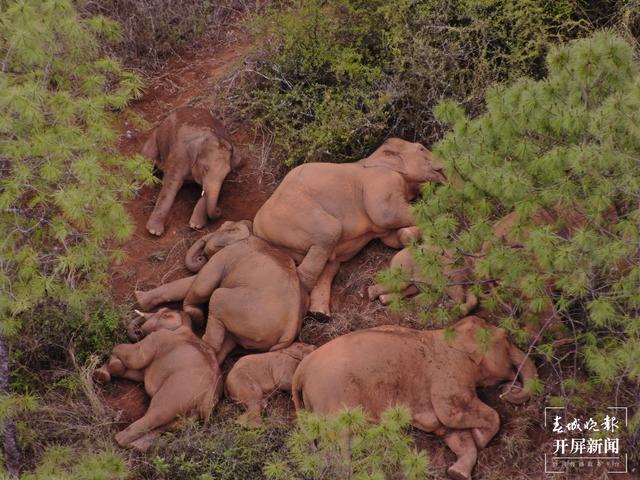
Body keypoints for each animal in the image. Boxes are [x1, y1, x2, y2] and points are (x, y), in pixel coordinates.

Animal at [92, 308, 222, 450]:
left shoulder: (157, 338)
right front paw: (102, 374)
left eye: (159, 311)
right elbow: (137, 373)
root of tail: (207, 401)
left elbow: (133, 357)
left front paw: (106, 369)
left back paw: (118, 439)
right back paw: (138, 446)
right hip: (190, 415)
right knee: (166, 426)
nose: (138, 331)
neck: (184, 326)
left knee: (156, 414)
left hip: (176, 394)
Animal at [134, 219, 308, 362]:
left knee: (216, 299)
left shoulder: (227, 254)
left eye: (221, 227)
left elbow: (201, 285)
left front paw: (195, 316)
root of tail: (289, 332)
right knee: (230, 340)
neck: (249, 234)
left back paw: (202, 342)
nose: (201, 257)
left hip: (242, 309)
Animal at [141, 106, 240, 235]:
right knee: (147, 158)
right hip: (155, 137)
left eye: (227, 173)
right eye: (205, 168)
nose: (219, 210)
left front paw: (196, 225)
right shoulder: (180, 156)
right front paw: (154, 232)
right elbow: (172, 183)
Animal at [250, 138, 444, 316]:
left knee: (331, 264)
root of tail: (257, 228)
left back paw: (320, 314)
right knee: (329, 232)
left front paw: (407, 234)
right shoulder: (381, 181)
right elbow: (386, 214)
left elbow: (390, 238)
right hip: (289, 214)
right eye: (421, 148)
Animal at [292, 316, 536, 480]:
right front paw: (481, 438)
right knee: (340, 443)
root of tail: (301, 370)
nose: (508, 388)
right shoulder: (448, 374)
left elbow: (451, 432)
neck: (450, 333)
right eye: (506, 336)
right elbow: (453, 415)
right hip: (331, 400)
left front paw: (457, 472)